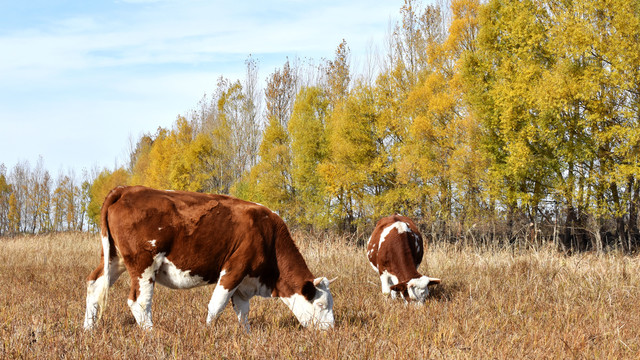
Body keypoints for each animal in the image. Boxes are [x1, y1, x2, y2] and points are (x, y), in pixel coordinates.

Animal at [84, 186, 336, 332]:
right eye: (321, 304)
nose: (330, 330)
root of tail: (127, 189)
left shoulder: (245, 282)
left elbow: (243, 311)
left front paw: (246, 335)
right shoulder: (235, 268)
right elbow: (217, 305)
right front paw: (207, 333)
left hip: (114, 259)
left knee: (94, 285)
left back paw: (89, 329)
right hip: (143, 263)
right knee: (139, 301)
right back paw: (152, 334)